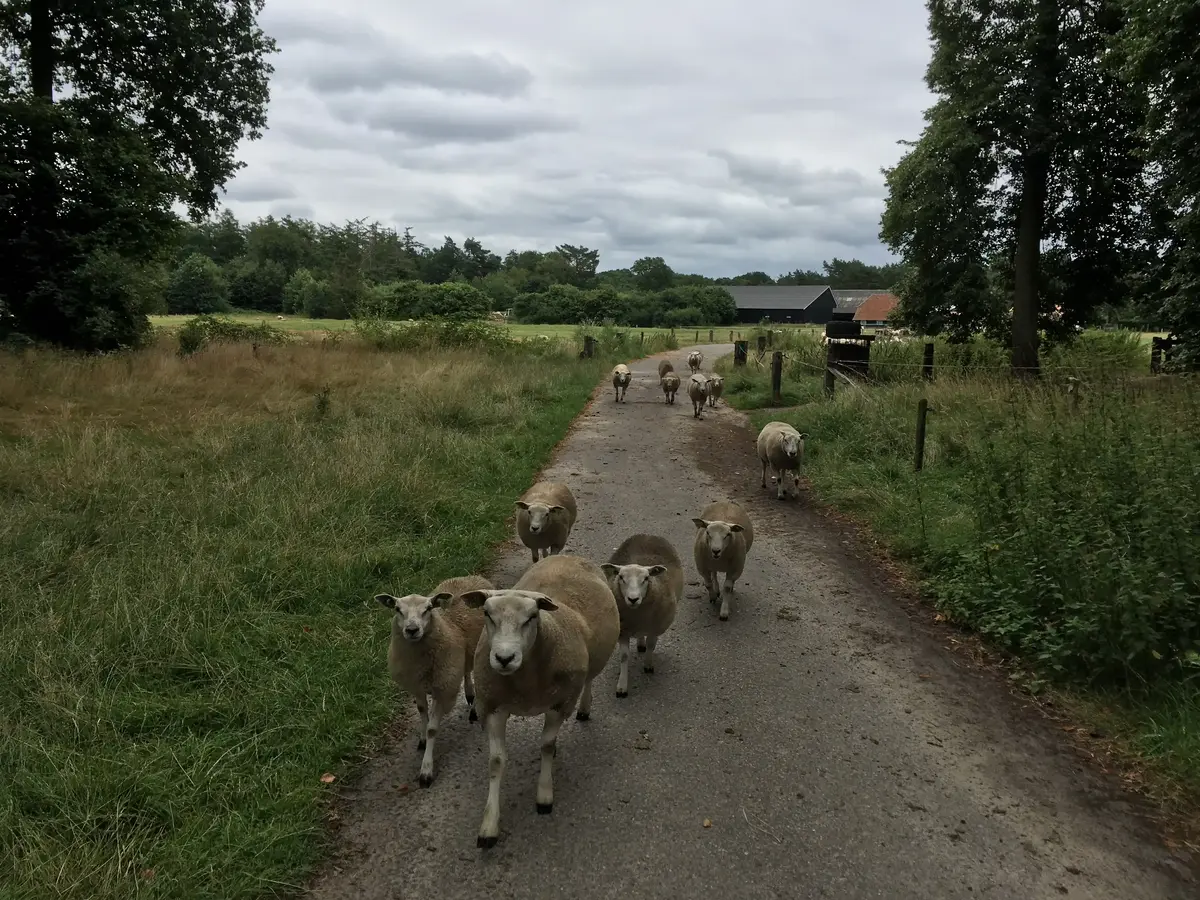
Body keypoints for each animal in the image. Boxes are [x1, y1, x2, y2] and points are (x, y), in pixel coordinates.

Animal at [372, 578, 489, 787]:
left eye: (427, 609)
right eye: (397, 609)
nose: (411, 630)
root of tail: (471, 576)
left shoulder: (442, 689)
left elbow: (433, 729)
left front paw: (426, 770)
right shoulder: (416, 685)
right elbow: (421, 712)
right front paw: (422, 739)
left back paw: (475, 707)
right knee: (467, 670)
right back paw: (469, 693)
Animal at [458, 554, 619, 849]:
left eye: (532, 617)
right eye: (487, 614)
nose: (504, 658)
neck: (525, 683)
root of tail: (568, 555)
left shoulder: (560, 703)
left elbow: (546, 746)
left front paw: (544, 795)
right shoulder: (493, 708)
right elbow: (496, 762)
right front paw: (489, 826)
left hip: (590, 666)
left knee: (589, 680)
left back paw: (585, 707)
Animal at [600, 535, 686, 696]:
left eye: (646, 578)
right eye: (621, 577)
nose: (633, 599)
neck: (637, 614)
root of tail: (647, 535)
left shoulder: (655, 627)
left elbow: (651, 646)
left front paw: (648, 665)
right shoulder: (623, 631)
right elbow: (624, 657)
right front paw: (622, 686)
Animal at [691, 496, 753, 624]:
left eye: (728, 534)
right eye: (708, 532)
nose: (716, 550)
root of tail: (726, 501)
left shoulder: (735, 569)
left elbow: (727, 588)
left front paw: (724, 612)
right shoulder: (702, 567)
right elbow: (708, 584)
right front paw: (713, 596)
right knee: (714, 574)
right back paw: (716, 590)